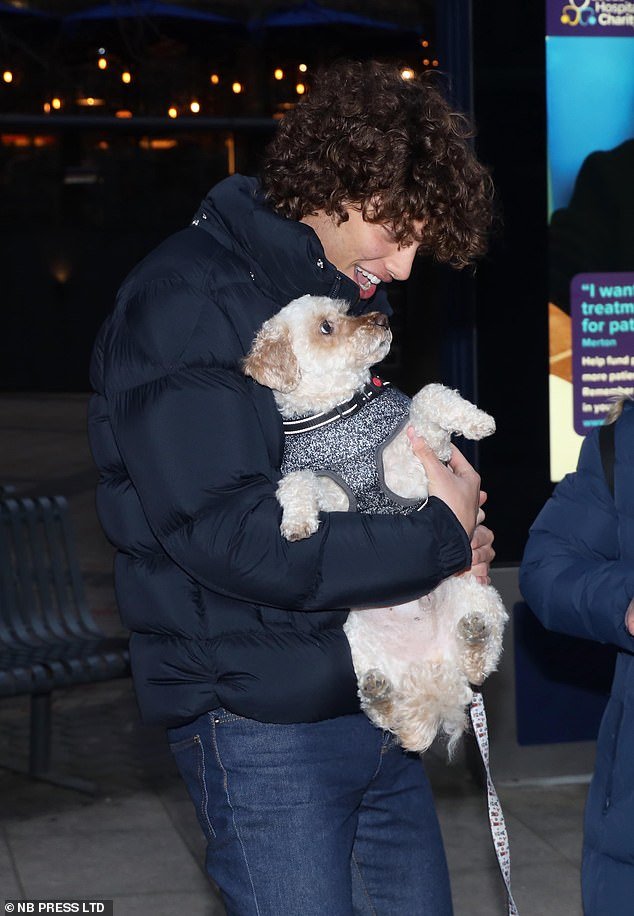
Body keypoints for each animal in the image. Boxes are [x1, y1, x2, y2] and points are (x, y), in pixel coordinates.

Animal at [244, 296, 506, 756]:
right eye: (326, 327)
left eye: (347, 309)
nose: (382, 318)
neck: (337, 413)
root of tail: (432, 666)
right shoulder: (326, 488)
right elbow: (295, 481)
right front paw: (297, 520)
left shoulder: (426, 455)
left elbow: (430, 393)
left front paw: (477, 420)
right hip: (358, 644)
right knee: (387, 711)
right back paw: (381, 694)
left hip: (477, 593)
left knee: (478, 666)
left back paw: (473, 639)